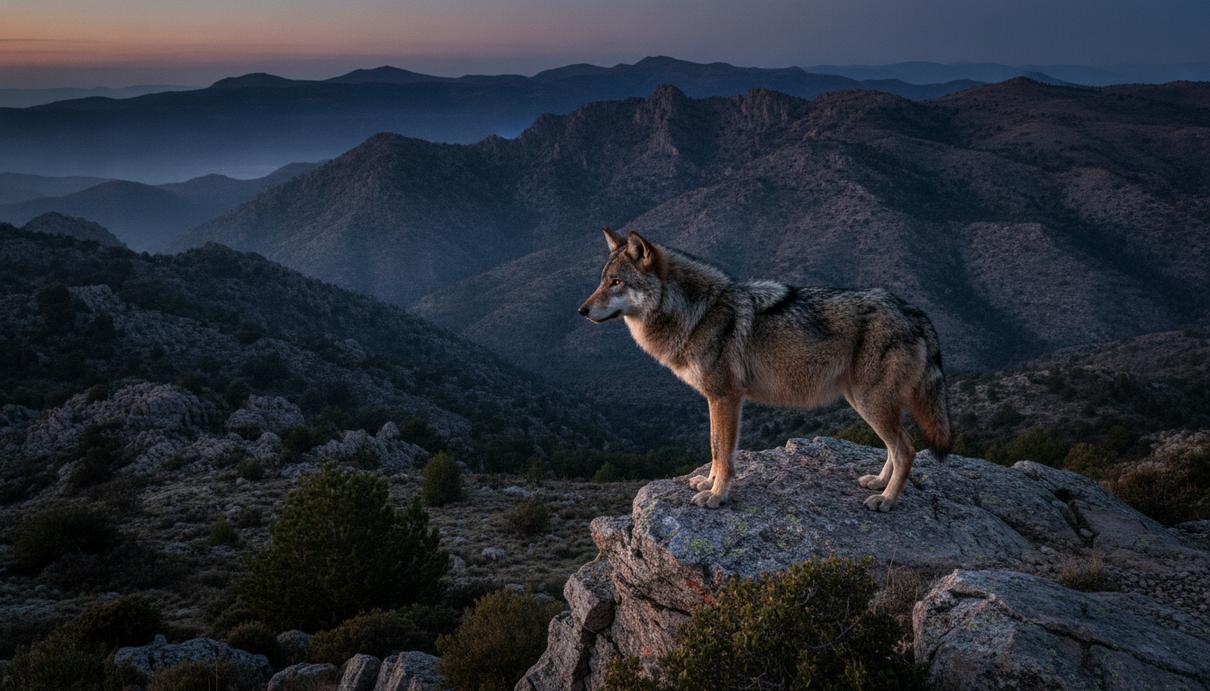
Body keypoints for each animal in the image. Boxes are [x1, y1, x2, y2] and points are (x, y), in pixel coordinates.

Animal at [578, 228, 951, 512]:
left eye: (616, 282)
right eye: (601, 281)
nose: (581, 310)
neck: (698, 314)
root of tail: (915, 312)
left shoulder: (726, 398)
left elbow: (723, 453)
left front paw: (717, 497)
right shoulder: (716, 399)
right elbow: (715, 448)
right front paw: (708, 483)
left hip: (869, 403)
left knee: (906, 450)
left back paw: (886, 500)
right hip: (866, 403)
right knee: (895, 447)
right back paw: (879, 482)